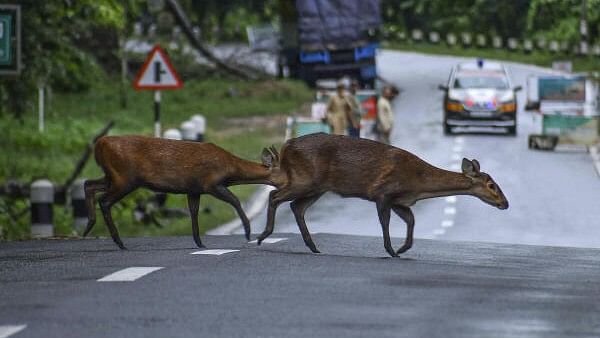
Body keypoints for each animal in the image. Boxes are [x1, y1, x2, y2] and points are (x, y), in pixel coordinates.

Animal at [84, 136, 276, 250]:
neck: (231, 170)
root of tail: (100, 144)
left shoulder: (194, 189)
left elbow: (194, 211)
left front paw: (199, 242)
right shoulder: (211, 183)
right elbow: (235, 200)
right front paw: (248, 233)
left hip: (113, 177)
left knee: (89, 184)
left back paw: (88, 227)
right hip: (125, 178)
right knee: (104, 201)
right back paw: (118, 241)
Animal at [256, 132, 506, 256]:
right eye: (491, 184)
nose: (505, 203)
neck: (419, 183)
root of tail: (286, 146)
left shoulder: (400, 201)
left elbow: (411, 220)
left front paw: (403, 248)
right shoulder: (383, 192)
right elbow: (385, 222)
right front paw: (391, 250)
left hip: (317, 187)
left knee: (296, 206)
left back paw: (313, 246)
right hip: (306, 180)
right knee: (275, 196)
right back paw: (263, 236)